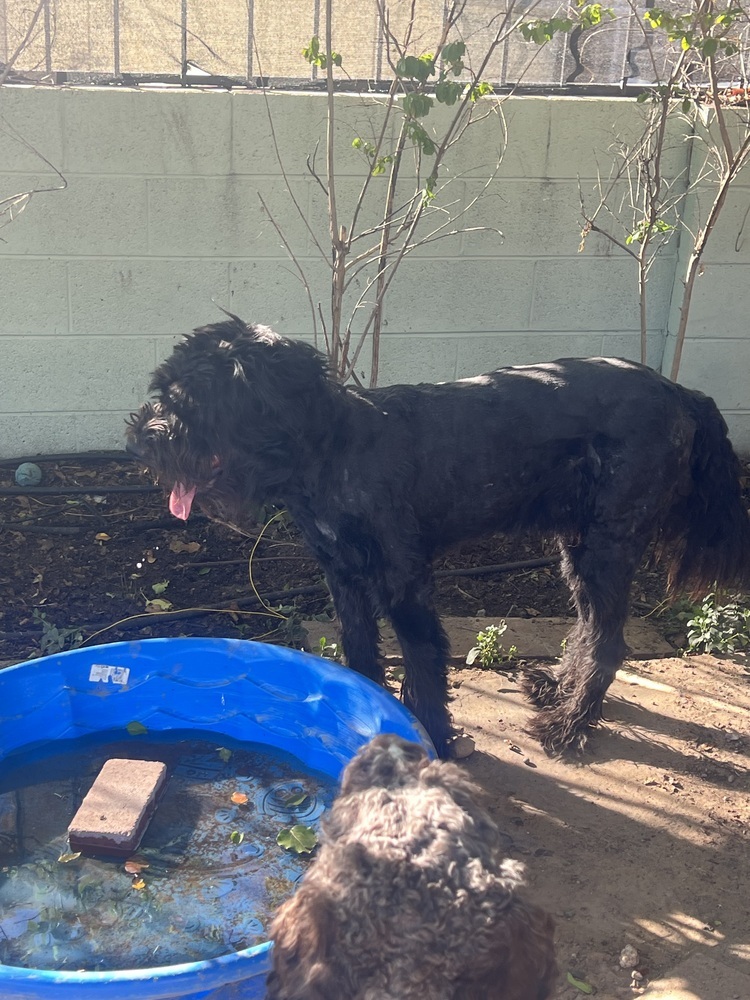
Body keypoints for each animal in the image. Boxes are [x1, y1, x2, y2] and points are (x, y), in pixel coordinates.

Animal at [126, 320, 750, 756]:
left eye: (196, 399)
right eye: (162, 389)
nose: (141, 438)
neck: (333, 451)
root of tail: (679, 390)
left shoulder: (406, 586)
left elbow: (424, 668)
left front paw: (434, 742)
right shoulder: (344, 580)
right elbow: (360, 656)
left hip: (606, 546)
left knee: (610, 641)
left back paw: (567, 725)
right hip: (578, 546)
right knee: (591, 628)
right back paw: (557, 689)